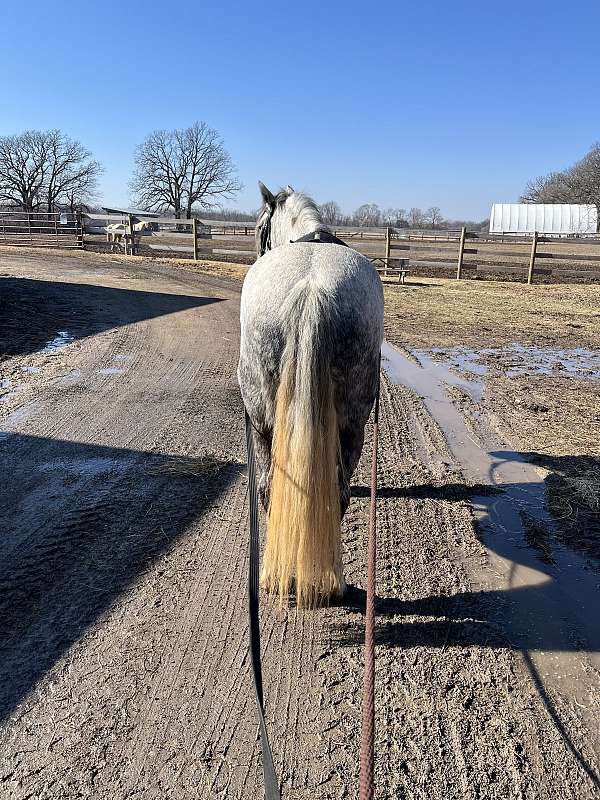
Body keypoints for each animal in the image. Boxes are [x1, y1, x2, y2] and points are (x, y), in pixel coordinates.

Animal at [238, 183, 384, 608]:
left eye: (259, 228)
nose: (257, 250)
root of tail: (312, 286)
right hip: (351, 422)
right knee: (335, 491)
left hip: (261, 419)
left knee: (271, 488)